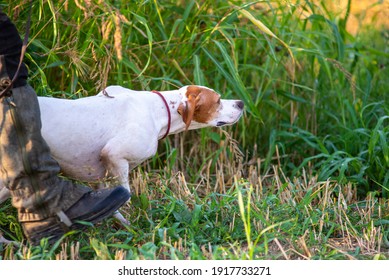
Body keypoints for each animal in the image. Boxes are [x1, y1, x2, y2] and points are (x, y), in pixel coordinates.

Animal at [0, 85, 242, 225]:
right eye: (218, 100)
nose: (240, 103)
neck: (158, 110)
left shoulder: (99, 174)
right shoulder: (114, 155)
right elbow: (124, 194)